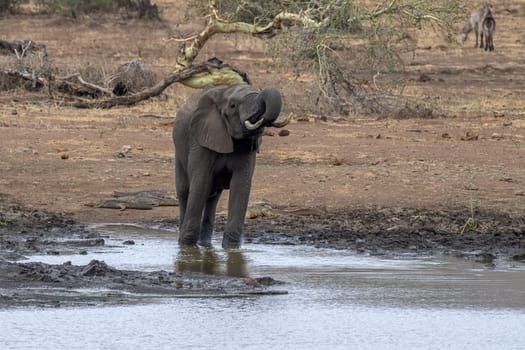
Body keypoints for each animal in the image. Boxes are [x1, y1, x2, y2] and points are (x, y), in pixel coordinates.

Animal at [173, 83, 290, 247]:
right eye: (233, 105)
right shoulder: (200, 140)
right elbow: (200, 183)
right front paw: (187, 246)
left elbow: (240, 185)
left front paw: (231, 248)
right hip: (179, 152)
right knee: (185, 191)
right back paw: (183, 242)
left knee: (213, 196)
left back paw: (205, 244)